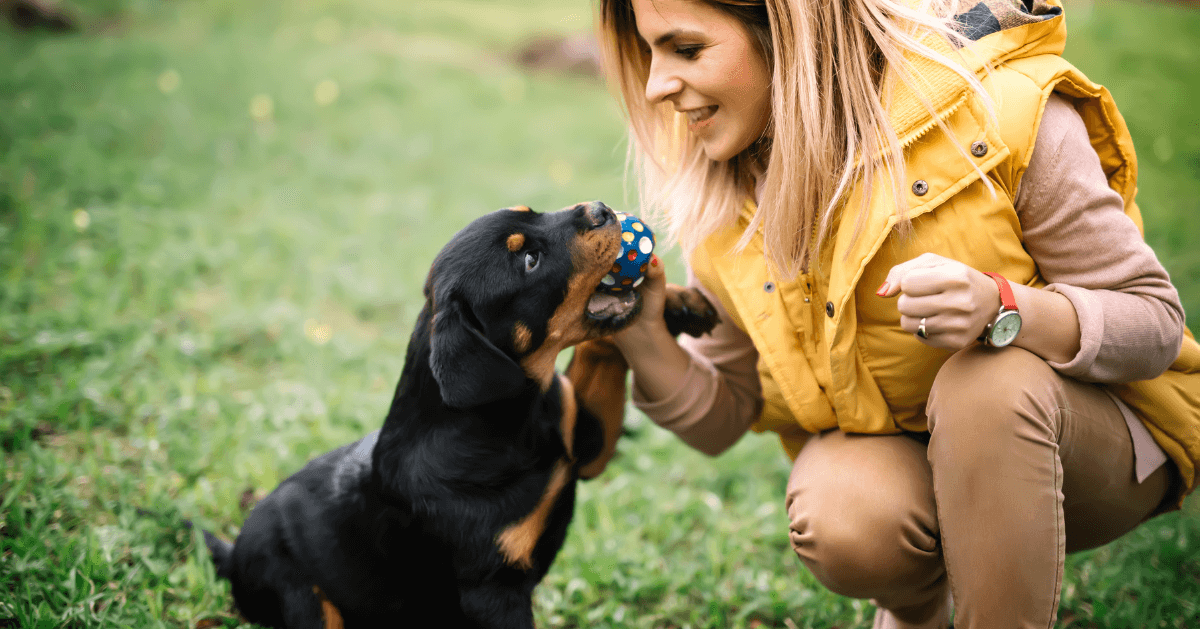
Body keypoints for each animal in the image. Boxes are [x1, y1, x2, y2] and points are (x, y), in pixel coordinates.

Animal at [202, 201, 715, 629]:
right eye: (529, 261)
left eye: (533, 211)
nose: (602, 209)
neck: (513, 420)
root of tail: (232, 555)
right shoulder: (493, 592)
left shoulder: (584, 443)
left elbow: (603, 345)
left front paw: (676, 301)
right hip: (302, 594)